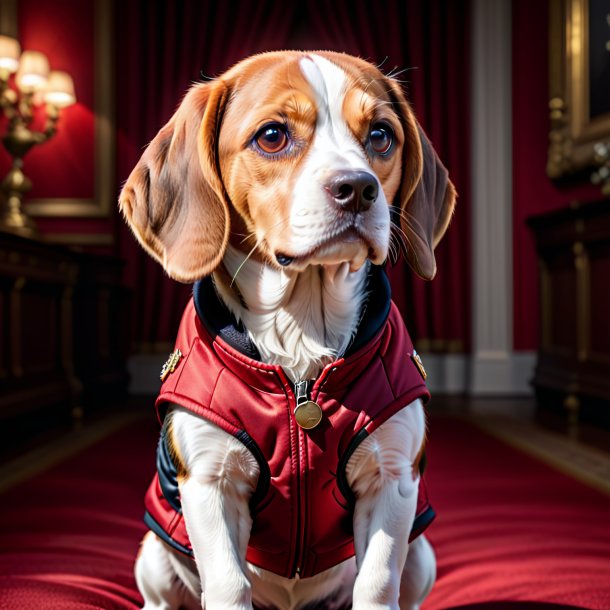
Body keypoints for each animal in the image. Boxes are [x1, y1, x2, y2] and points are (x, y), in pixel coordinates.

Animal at [120, 50, 452, 604]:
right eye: (272, 136)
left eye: (381, 135)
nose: (358, 188)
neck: (301, 332)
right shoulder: (210, 484)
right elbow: (228, 585)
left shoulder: (392, 480)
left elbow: (376, 585)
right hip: (156, 554)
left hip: (422, 555)